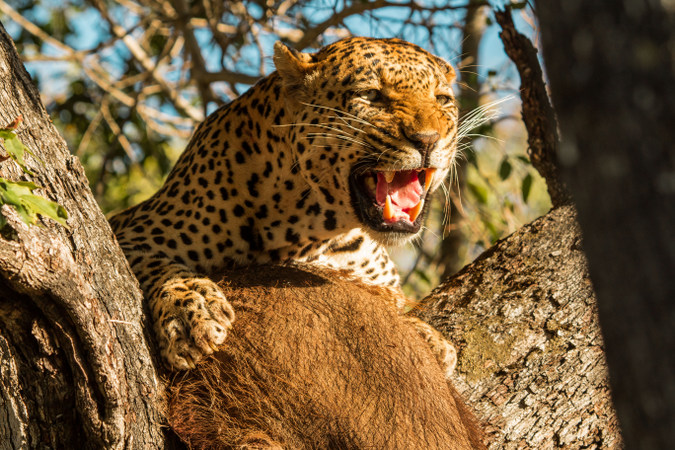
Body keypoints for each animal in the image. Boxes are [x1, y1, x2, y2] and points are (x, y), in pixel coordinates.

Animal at [109, 35, 460, 372]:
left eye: (443, 100)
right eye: (371, 96)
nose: (428, 140)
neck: (317, 230)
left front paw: (430, 337)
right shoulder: (135, 234)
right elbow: (162, 268)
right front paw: (192, 313)